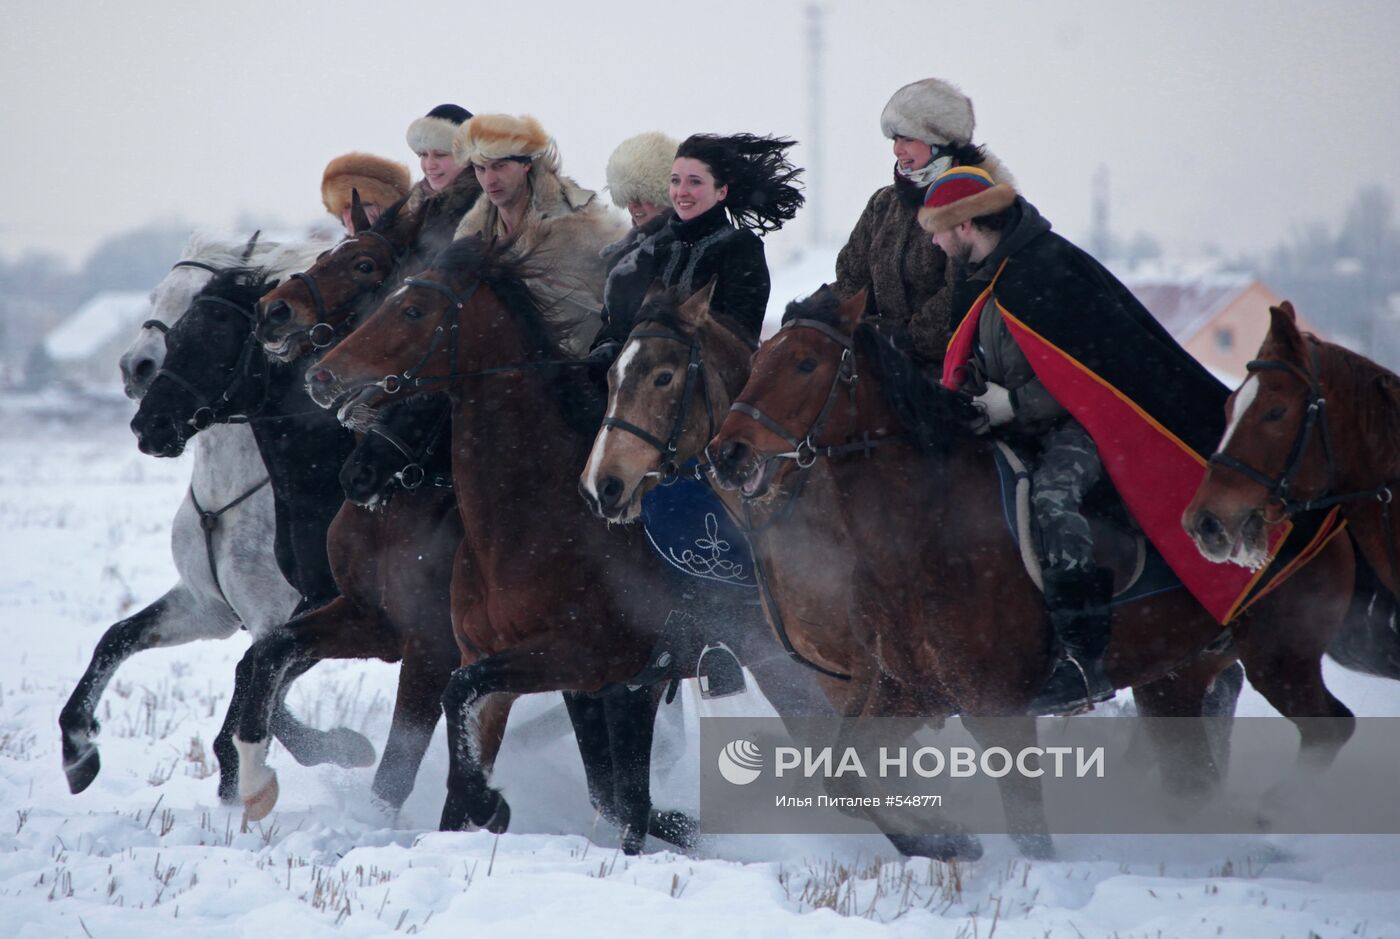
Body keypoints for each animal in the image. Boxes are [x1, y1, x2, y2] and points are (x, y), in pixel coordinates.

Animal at [61, 233, 372, 800]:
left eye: (197, 311)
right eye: (157, 295)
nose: (135, 369)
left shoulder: (295, 614)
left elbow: (256, 688)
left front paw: (333, 749)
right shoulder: (209, 606)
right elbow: (117, 638)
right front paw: (78, 752)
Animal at [711, 289, 1355, 856]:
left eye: (805, 362)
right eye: (759, 358)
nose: (727, 454)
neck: (926, 527)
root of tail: (1302, 501)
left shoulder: (997, 709)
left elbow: (1029, 832)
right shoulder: (905, 689)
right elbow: (843, 777)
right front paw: (946, 840)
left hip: (1280, 655)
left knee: (1331, 727)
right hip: (1178, 674)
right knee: (1192, 777)